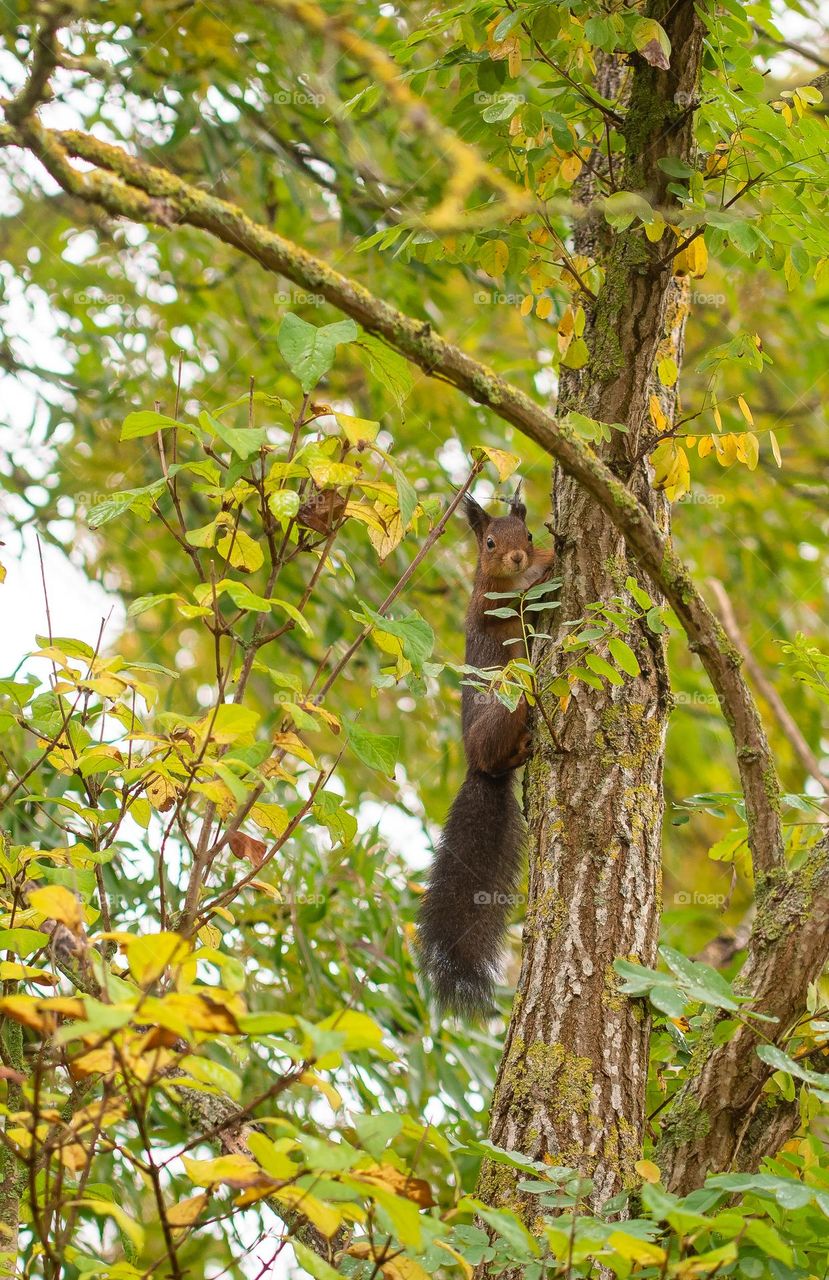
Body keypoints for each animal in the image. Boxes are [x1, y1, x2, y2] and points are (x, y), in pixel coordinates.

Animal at [417, 489, 555, 1016]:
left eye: (528, 534)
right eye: (491, 542)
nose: (518, 556)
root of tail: (477, 765)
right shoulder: (487, 605)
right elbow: (515, 602)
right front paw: (549, 569)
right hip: (508, 699)